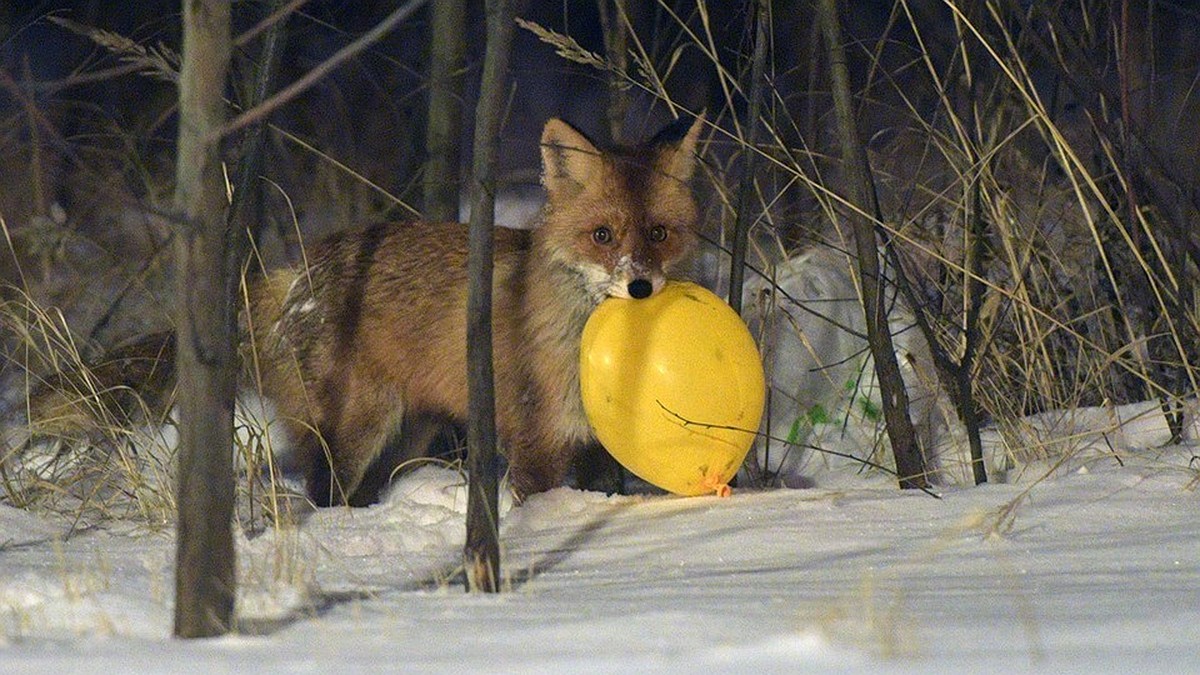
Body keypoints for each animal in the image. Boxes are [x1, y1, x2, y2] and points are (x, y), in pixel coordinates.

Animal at [242, 117, 700, 504]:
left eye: (659, 234)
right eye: (602, 236)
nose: (640, 287)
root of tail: (300, 268)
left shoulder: (598, 450)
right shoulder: (538, 441)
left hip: (407, 437)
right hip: (354, 432)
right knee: (321, 496)